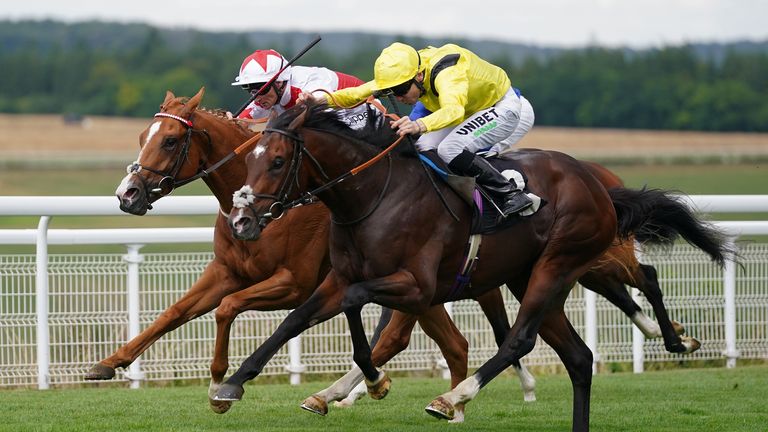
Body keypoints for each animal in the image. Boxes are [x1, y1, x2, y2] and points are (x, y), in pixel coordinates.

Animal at [216, 99, 728, 430]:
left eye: (277, 161)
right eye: (250, 159)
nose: (242, 220)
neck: (374, 195)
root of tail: (599, 185)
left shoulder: (416, 286)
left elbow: (360, 310)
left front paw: (376, 382)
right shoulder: (339, 277)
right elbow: (295, 320)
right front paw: (231, 385)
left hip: (559, 264)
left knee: (522, 338)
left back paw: (452, 397)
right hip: (531, 276)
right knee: (579, 357)